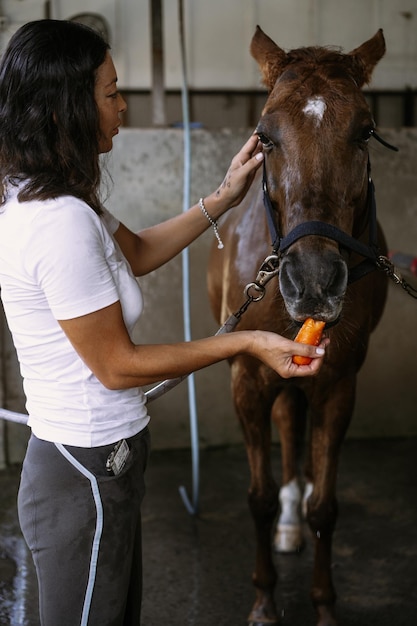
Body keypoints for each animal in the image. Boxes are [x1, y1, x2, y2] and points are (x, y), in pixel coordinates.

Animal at [210, 26, 388, 620]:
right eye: (264, 136)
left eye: (365, 131)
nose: (312, 280)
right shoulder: (247, 375)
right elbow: (259, 498)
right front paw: (264, 601)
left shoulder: (339, 382)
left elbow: (326, 506)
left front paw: (325, 606)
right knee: (287, 428)